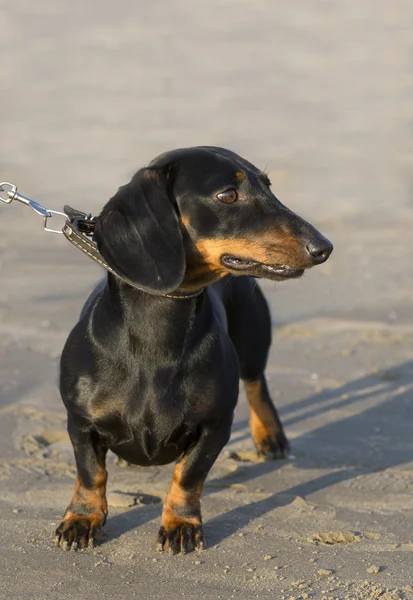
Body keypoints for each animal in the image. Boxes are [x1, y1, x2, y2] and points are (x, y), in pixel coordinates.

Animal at [54, 145, 332, 552]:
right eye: (227, 195)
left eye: (269, 187)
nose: (324, 248)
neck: (157, 333)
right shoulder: (80, 422)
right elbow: (91, 473)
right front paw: (81, 519)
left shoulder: (214, 426)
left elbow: (188, 476)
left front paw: (181, 524)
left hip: (252, 337)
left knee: (257, 383)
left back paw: (270, 437)